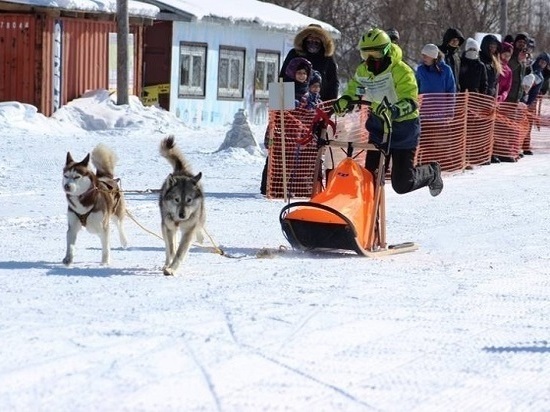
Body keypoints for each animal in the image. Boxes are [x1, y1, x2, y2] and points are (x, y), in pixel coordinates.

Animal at [160, 136, 205, 276]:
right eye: (176, 199)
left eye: (189, 200)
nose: (182, 215)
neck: (179, 222)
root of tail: (181, 171)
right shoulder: (169, 228)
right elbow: (171, 250)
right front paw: (168, 267)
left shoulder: (189, 230)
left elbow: (180, 253)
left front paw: (172, 269)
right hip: (164, 227)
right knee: (167, 248)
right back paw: (166, 264)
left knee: (201, 226)